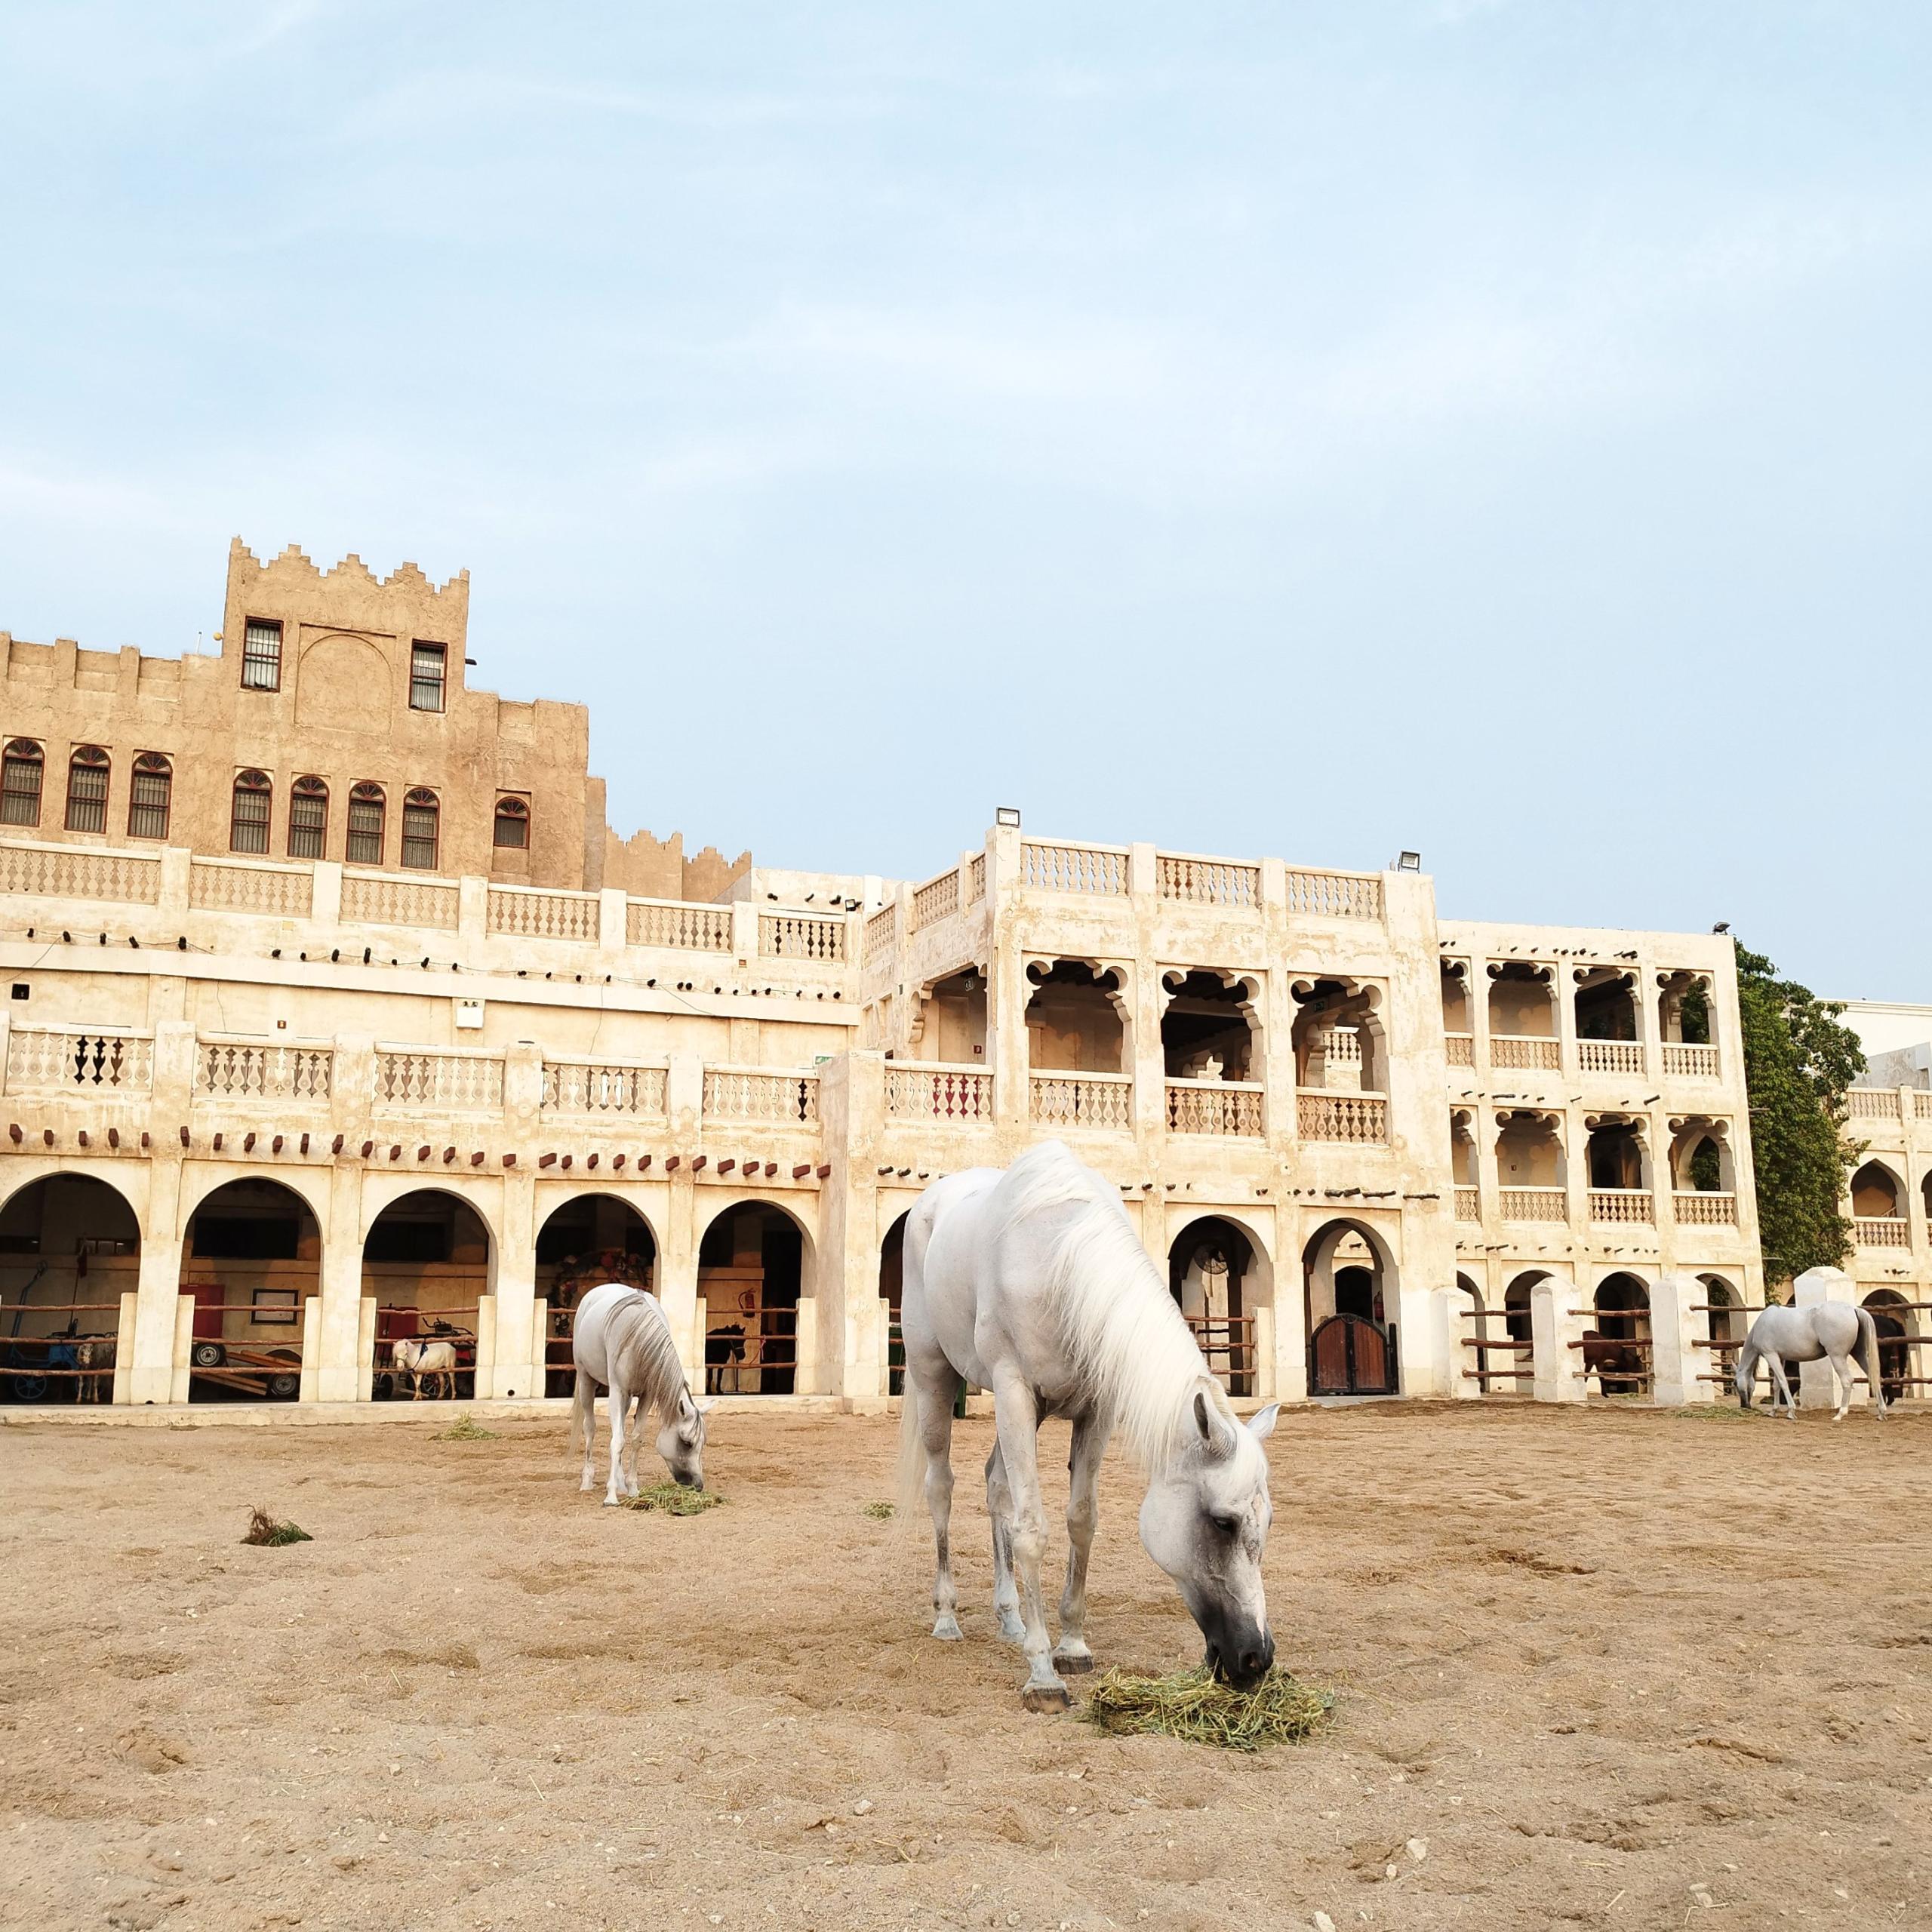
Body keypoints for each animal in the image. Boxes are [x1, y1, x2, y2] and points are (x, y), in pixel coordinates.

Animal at [570, 1282, 712, 1503]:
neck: (639, 1336)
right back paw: (587, 1481)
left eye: (702, 1443)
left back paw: (619, 1481)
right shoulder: (617, 1391)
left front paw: (632, 1488)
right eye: (687, 1443)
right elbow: (617, 1441)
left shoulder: (645, 1396)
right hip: (586, 1380)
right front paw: (611, 1496)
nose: (698, 1486)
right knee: (590, 1428)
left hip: (626, 1398)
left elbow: (635, 1439)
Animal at [898, 1140, 1280, 1713]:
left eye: (1267, 1522)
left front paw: (1072, 1647)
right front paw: (1042, 1675)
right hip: (935, 1380)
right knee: (941, 1487)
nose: (1256, 1658)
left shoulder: (1095, 1410)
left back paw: (1010, 1618)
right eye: (1223, 1523)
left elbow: (1081, 1520)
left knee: (996, 1486)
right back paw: (947, 1617)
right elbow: (1032, 1530)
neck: (1058, 1263)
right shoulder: (1013, 1392)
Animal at [1736, 1303, 1887, 1421]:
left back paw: (1840, 1414)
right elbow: (1777, 1385)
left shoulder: (1771, 1355)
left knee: (1847, 1381)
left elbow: (1783, 1383)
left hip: (1837, 1357)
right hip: (1859, 1354)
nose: (1745, 1406)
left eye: (1735, 1383)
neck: (1761, 1325)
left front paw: (1791, 1412)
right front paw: (1773, 1411)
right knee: (1874, 1377)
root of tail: (1853, 1309)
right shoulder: (1780, 1358)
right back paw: (1881, 1413)